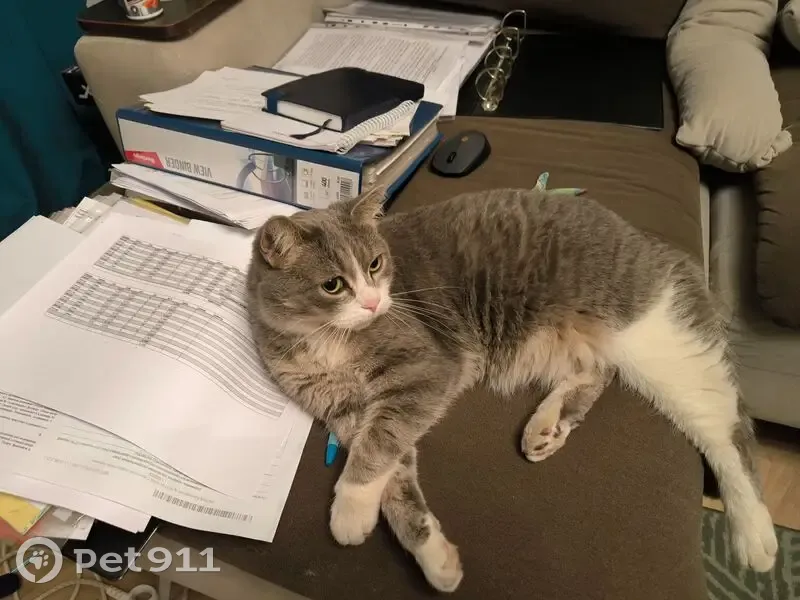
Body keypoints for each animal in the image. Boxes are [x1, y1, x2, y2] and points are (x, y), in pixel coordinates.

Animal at [246, 186, 777, 593]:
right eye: (333, 285)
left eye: (376, 264)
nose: (376, 303)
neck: (323, 341)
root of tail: (650, 242)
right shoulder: (347, 412)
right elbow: (395, 480)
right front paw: (436, 559)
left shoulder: (424, 371)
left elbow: (374, 452)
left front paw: (349, 510)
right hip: (576, 345)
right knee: (599, 370)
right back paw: (548, 426)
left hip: (654, 339)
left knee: (726, 428)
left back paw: (754, 535)